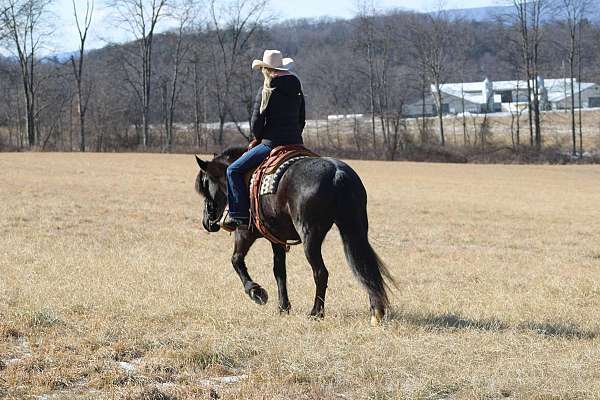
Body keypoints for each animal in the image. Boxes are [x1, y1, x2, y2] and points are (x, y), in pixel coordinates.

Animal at [195, 147, 396, 324]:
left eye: (204, 185)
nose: (207, 222)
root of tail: (337, 173)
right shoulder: (277, 238)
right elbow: (279, 271)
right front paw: (283, 306)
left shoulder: (245, 232)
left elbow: (236, 260)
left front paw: (256, 292)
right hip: (356, 230)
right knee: (366, 267)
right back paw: (376, 312)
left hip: (310, 236)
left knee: (321, 272)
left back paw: (316, 312)